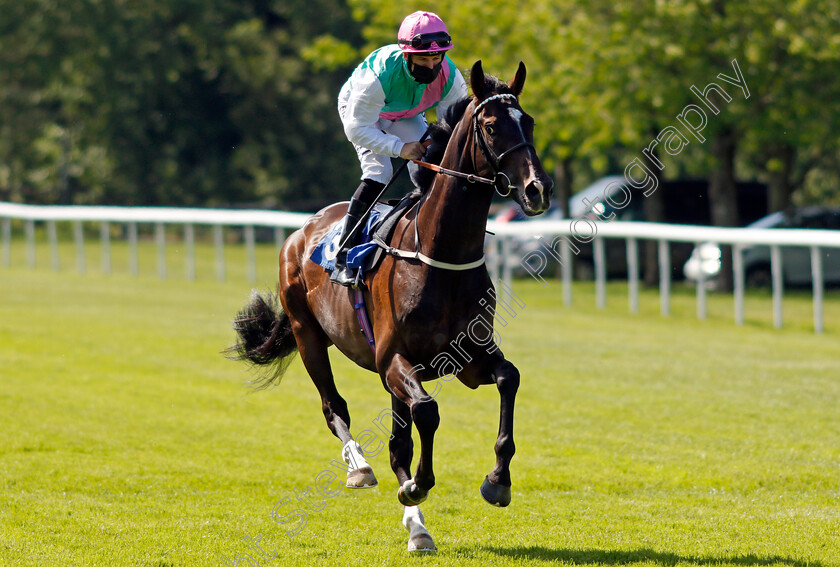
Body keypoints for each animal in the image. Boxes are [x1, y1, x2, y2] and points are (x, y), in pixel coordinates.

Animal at [230, 60, 556, 552]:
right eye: (491, 126)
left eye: (530, 122)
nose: (538, 189)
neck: (441, 256)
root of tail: (303, 229)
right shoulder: (392, 359)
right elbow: (428, 412)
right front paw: (420, 483)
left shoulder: (468, 358)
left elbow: (508, 378)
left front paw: (498, 480)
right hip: (309, 336)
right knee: (335, 408)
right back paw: (360, 469)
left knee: (397, 441)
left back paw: (418, 528)